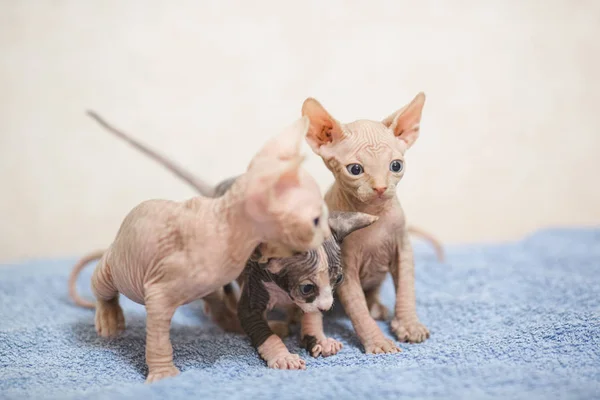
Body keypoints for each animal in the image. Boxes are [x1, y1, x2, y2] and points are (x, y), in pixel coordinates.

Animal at [302, 93, 442, 354]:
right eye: (355, 169)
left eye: (396, 166)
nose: (380, 188)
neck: (375, 214)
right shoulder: (344, 265)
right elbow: (357, 309)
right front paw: (378, 342)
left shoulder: (402, 248)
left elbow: (406, 288)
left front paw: (409, 324)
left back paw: (377, 307)